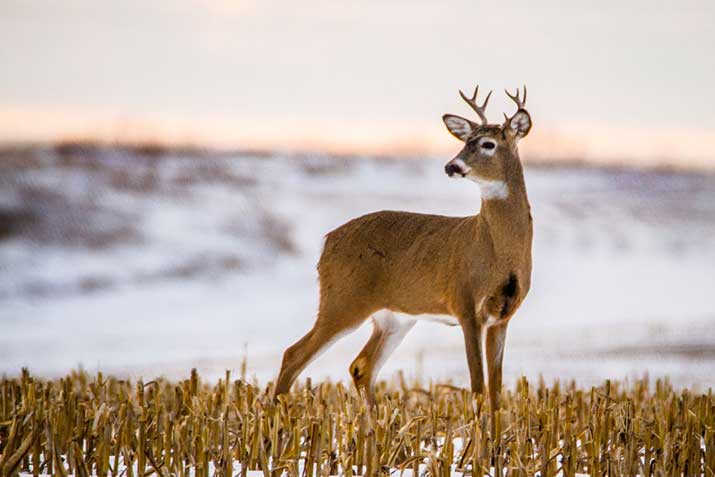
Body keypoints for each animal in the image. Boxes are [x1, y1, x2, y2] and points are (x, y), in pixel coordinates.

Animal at [274, 83, 532, 414]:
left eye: (488, 144)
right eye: (466, 141)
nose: (452, 166)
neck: (496, 252)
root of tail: (326, 242)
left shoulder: (503, 315)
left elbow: (496, 394)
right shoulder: (465, 303)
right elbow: (477, 387)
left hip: (393, 318)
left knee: (361, 366)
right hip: (342, 300)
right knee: (293, 355)